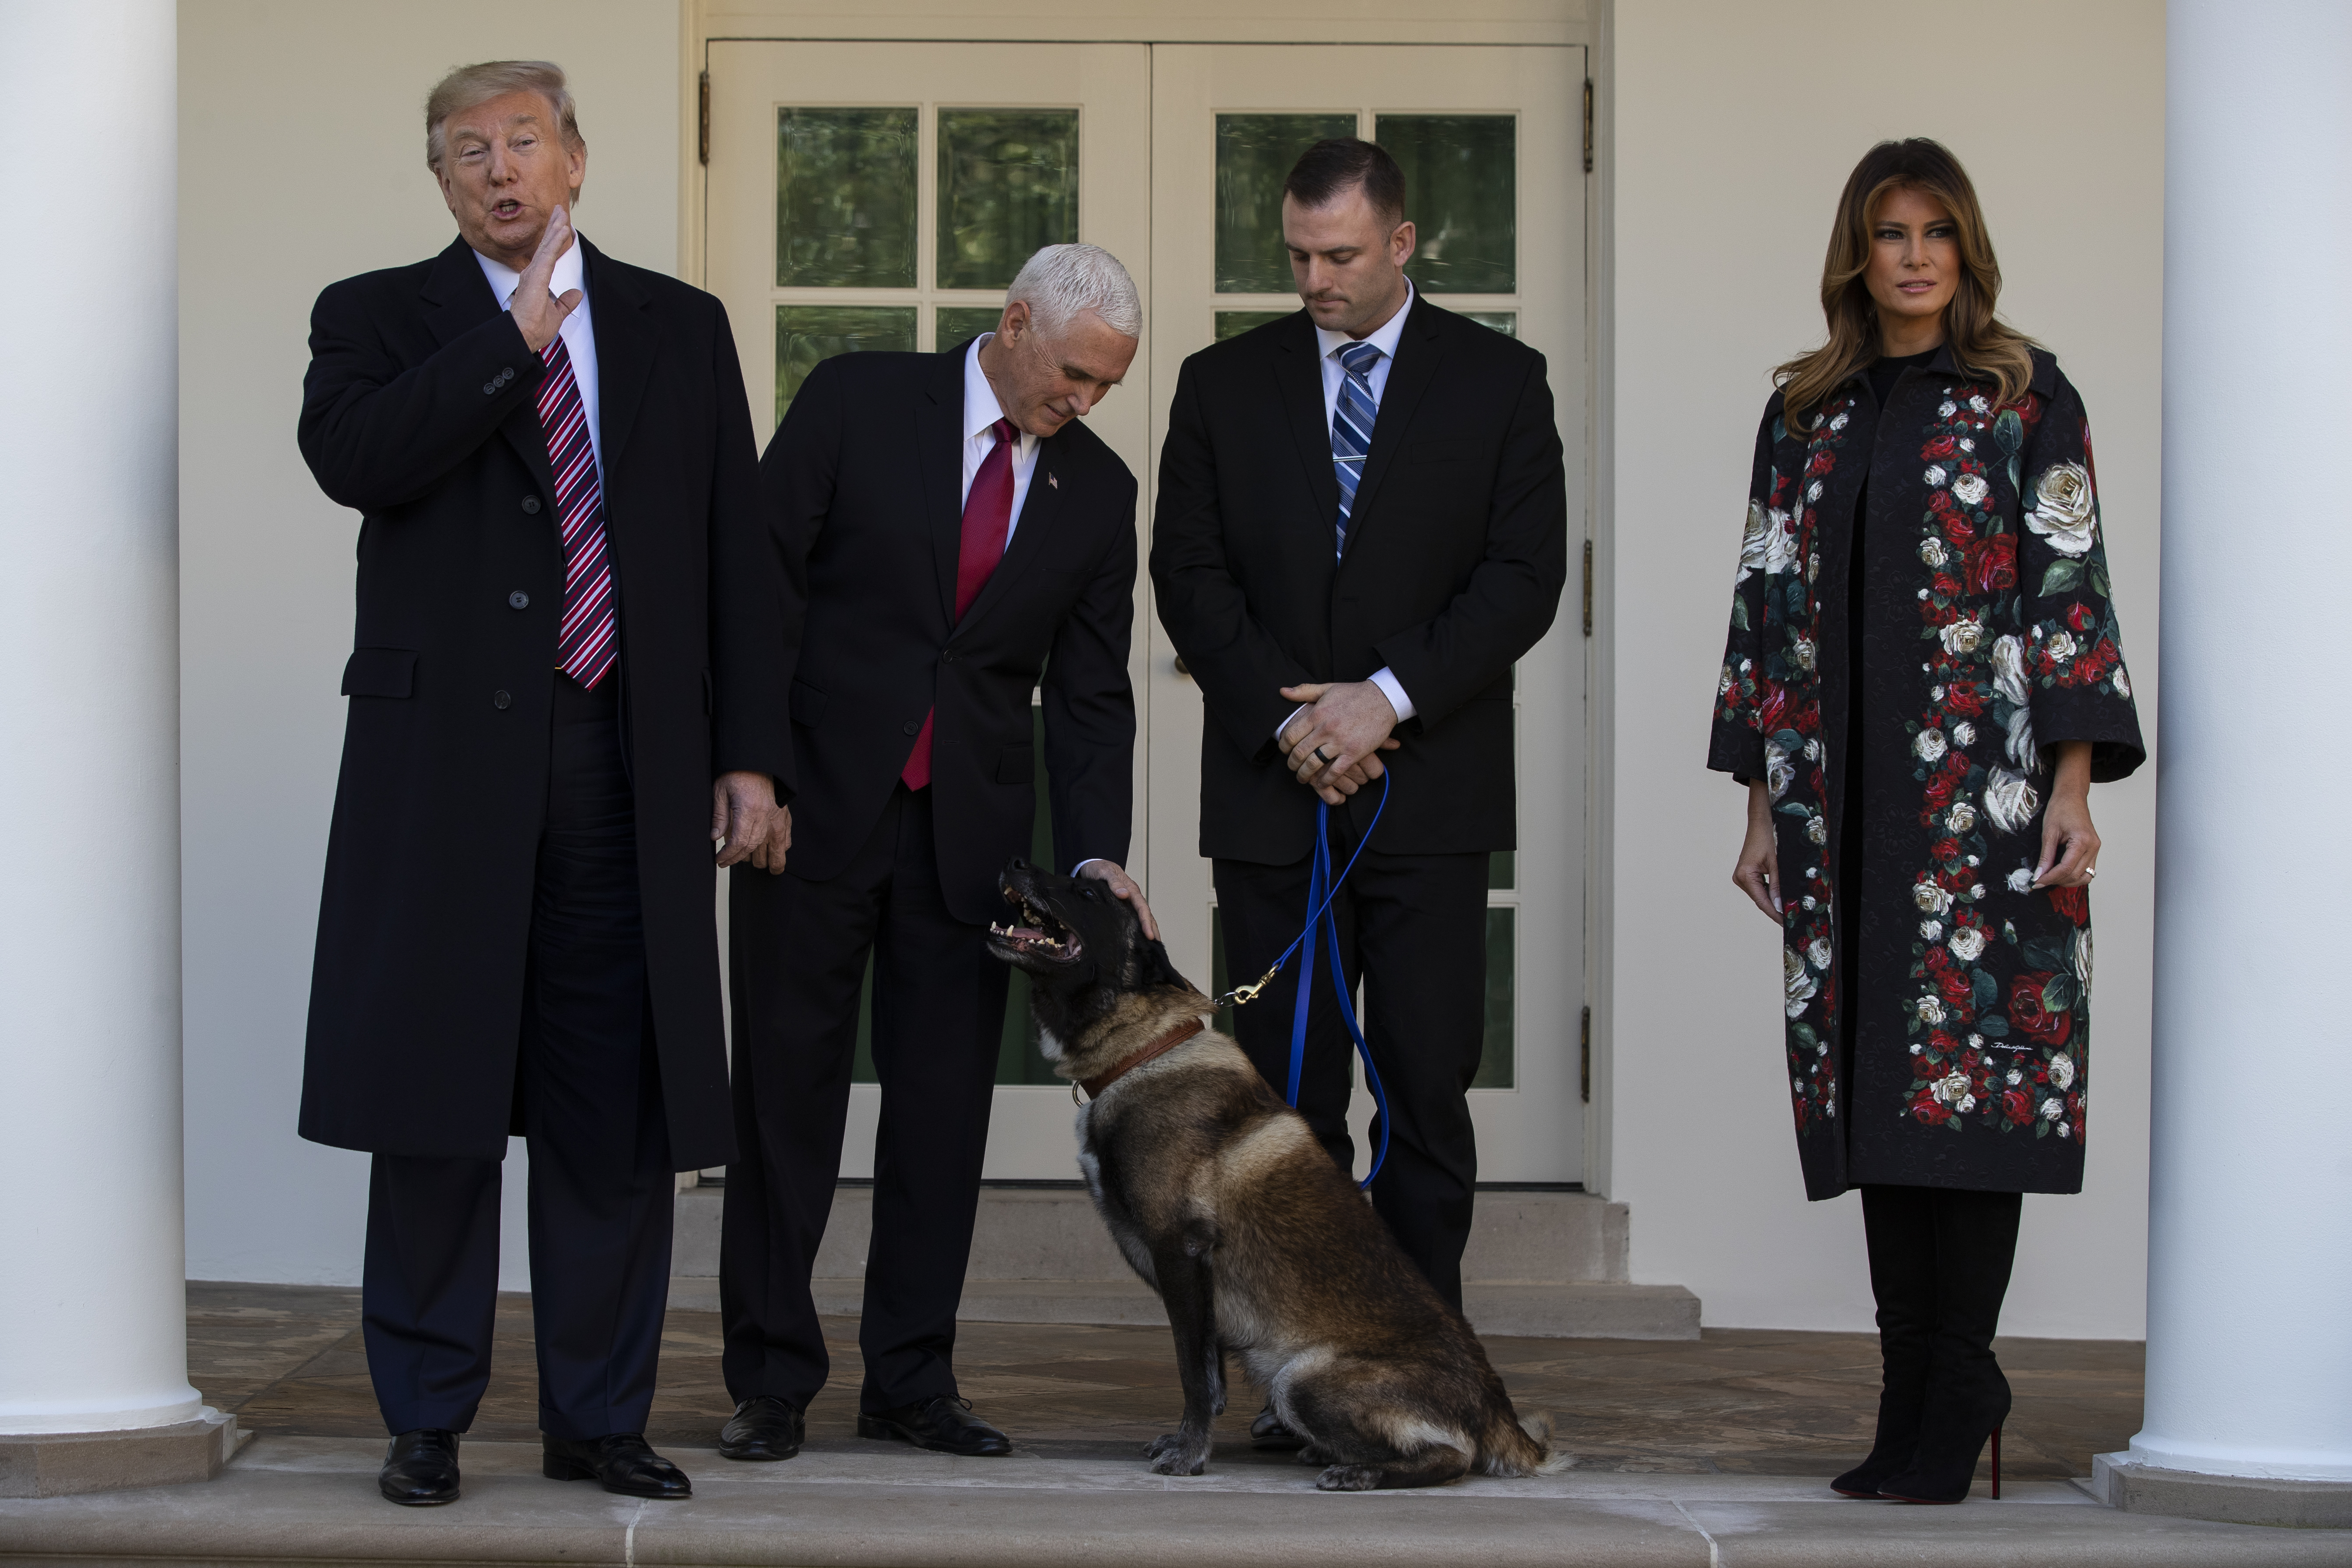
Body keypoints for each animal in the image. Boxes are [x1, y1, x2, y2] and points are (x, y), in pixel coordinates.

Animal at [983, 865, 1571, 1495]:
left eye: (1086, 893)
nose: (1013, 863)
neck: (1145, 1051)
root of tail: (1497, 1410)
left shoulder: (1180, 1252)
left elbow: (1193, 1372)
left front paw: (1190, 1455)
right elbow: (1210, 1377)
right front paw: (1190, 1442)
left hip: (1301, 1378)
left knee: (1453, 1455)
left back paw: (1358, 1470)